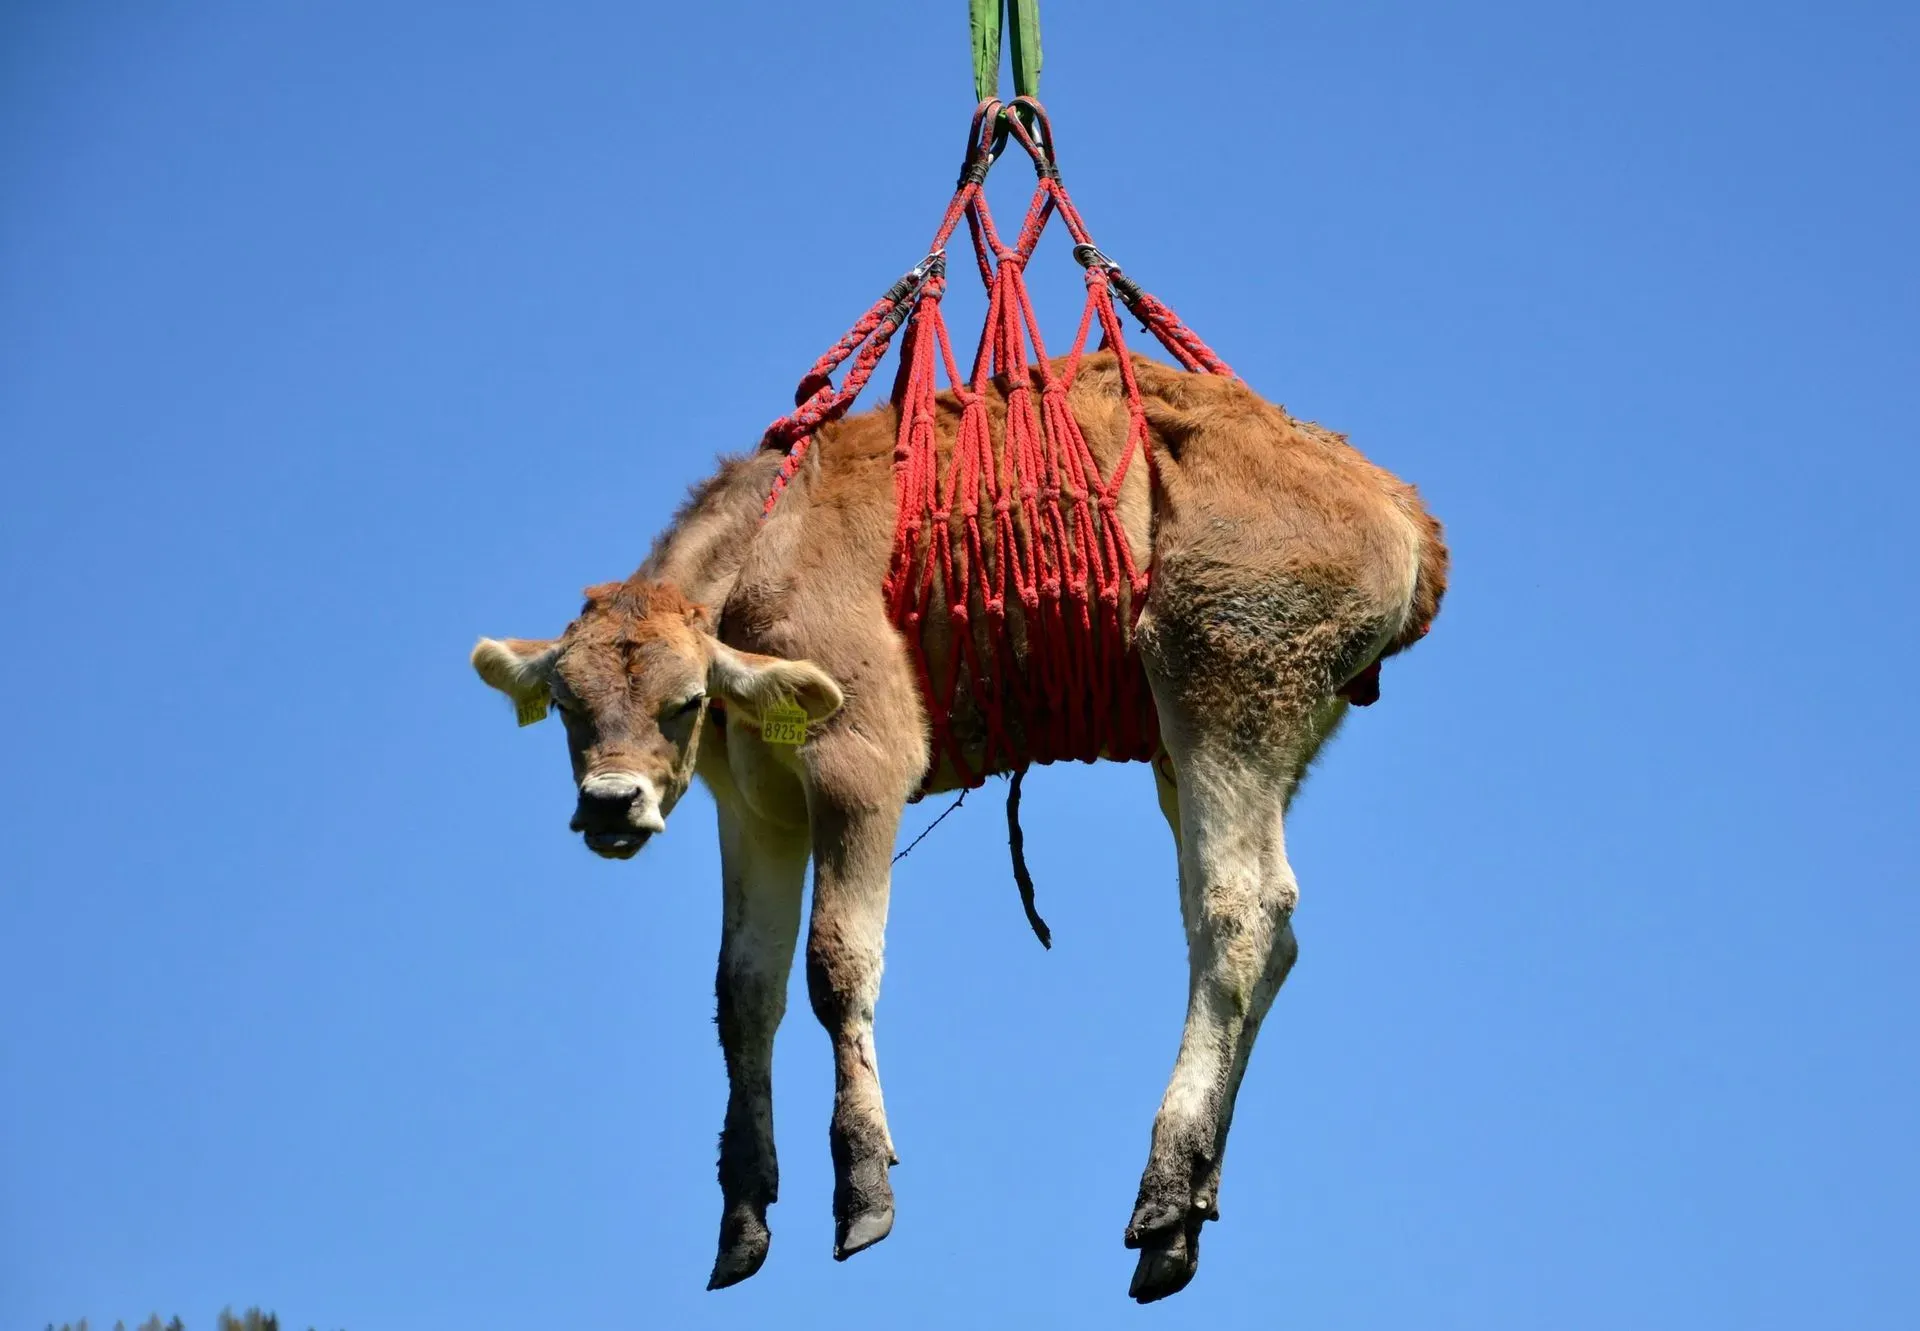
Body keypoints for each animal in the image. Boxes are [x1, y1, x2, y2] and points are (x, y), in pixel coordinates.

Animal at [470, 350, 1447, 1302]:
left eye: (682, 702)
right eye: (567, 704)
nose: (611, 802)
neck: (768, 550)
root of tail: (1393, 500)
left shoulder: (860, 761)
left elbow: (836, 963)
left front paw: (863, 1184)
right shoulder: (754, 808)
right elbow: (744, 991)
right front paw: (743, 1213)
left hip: (1225, 684)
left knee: (1237, 915)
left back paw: (1167, 1190)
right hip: (1213, 741)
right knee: (1269, 931)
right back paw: (1189, 1202)